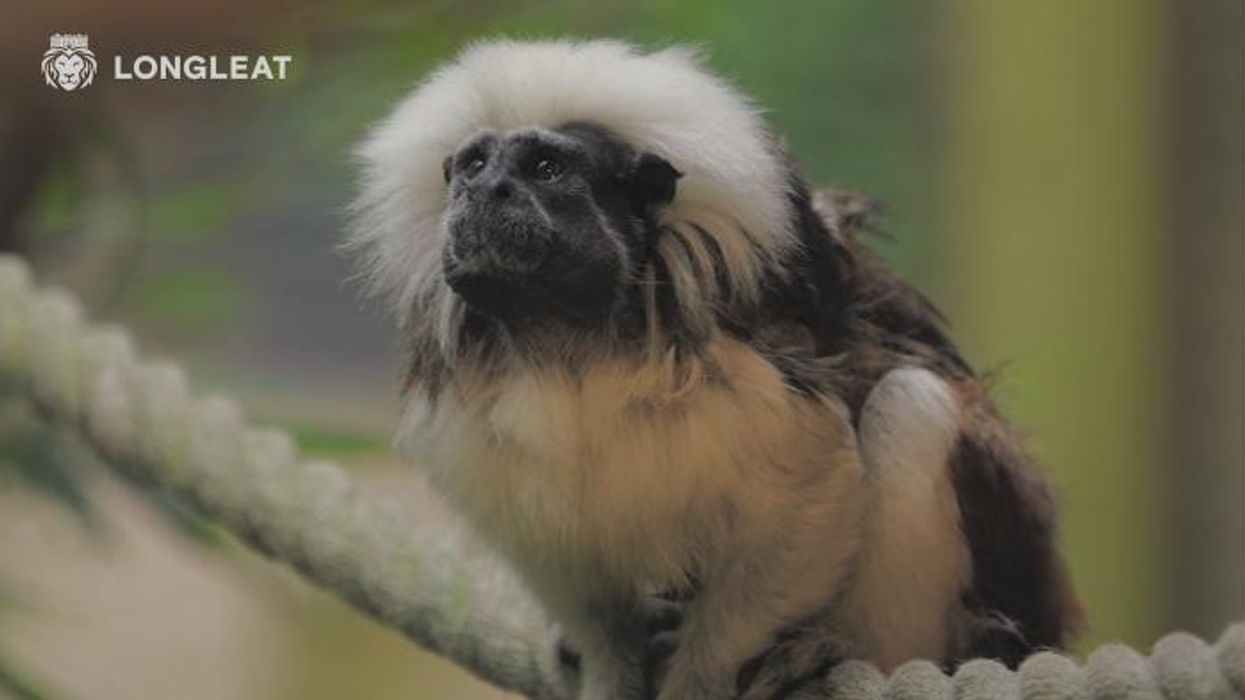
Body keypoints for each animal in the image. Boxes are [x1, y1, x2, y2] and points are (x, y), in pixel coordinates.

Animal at [347, 40, 1081, 700]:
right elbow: (560, 549)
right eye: (473, 163)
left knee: (910, 404)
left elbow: (809, 489)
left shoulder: (756, 369)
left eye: (546, 167)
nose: (486, 189)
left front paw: (699, 678)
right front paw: (611, 668)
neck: (575, 341)